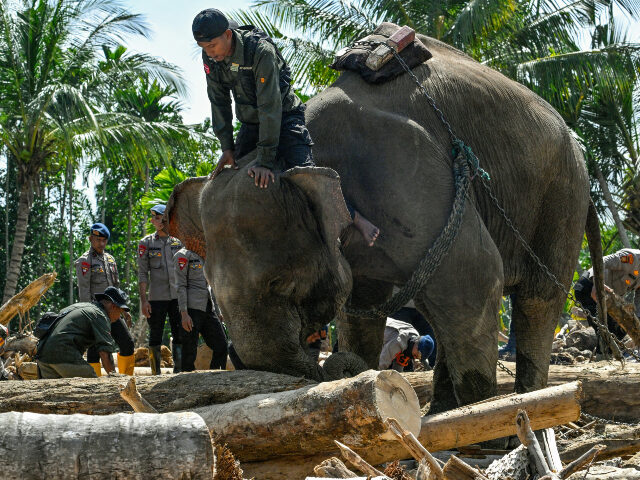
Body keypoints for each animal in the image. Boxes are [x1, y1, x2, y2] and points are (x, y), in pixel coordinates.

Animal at [167, 31, 595, 413]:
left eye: (283, 284)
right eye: (216, 302)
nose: (325, 359)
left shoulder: (408, 176)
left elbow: (475, 277)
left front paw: (486, 417)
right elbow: (360, 311)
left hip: (563, 190)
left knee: (535, 299)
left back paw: (525, 406)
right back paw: (443, 408)